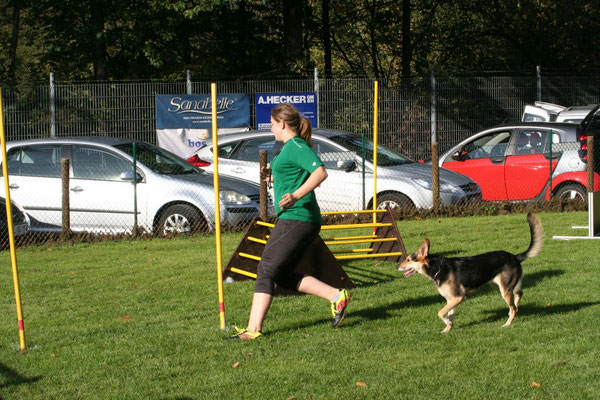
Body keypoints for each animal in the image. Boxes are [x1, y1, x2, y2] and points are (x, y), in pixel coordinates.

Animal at [398, 214, 544, 332]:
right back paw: (511, 311)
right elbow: (449, 315)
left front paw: (446, 322)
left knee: (514, 307)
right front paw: (447, 329)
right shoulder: (450, 300)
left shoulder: (458, 298)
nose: (396, 266)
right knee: (519, 294)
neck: (438, 268)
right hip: (500, 286)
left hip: (504, 289)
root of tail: (515, 256)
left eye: (408, 259)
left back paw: (507, 323)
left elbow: (440, 313)